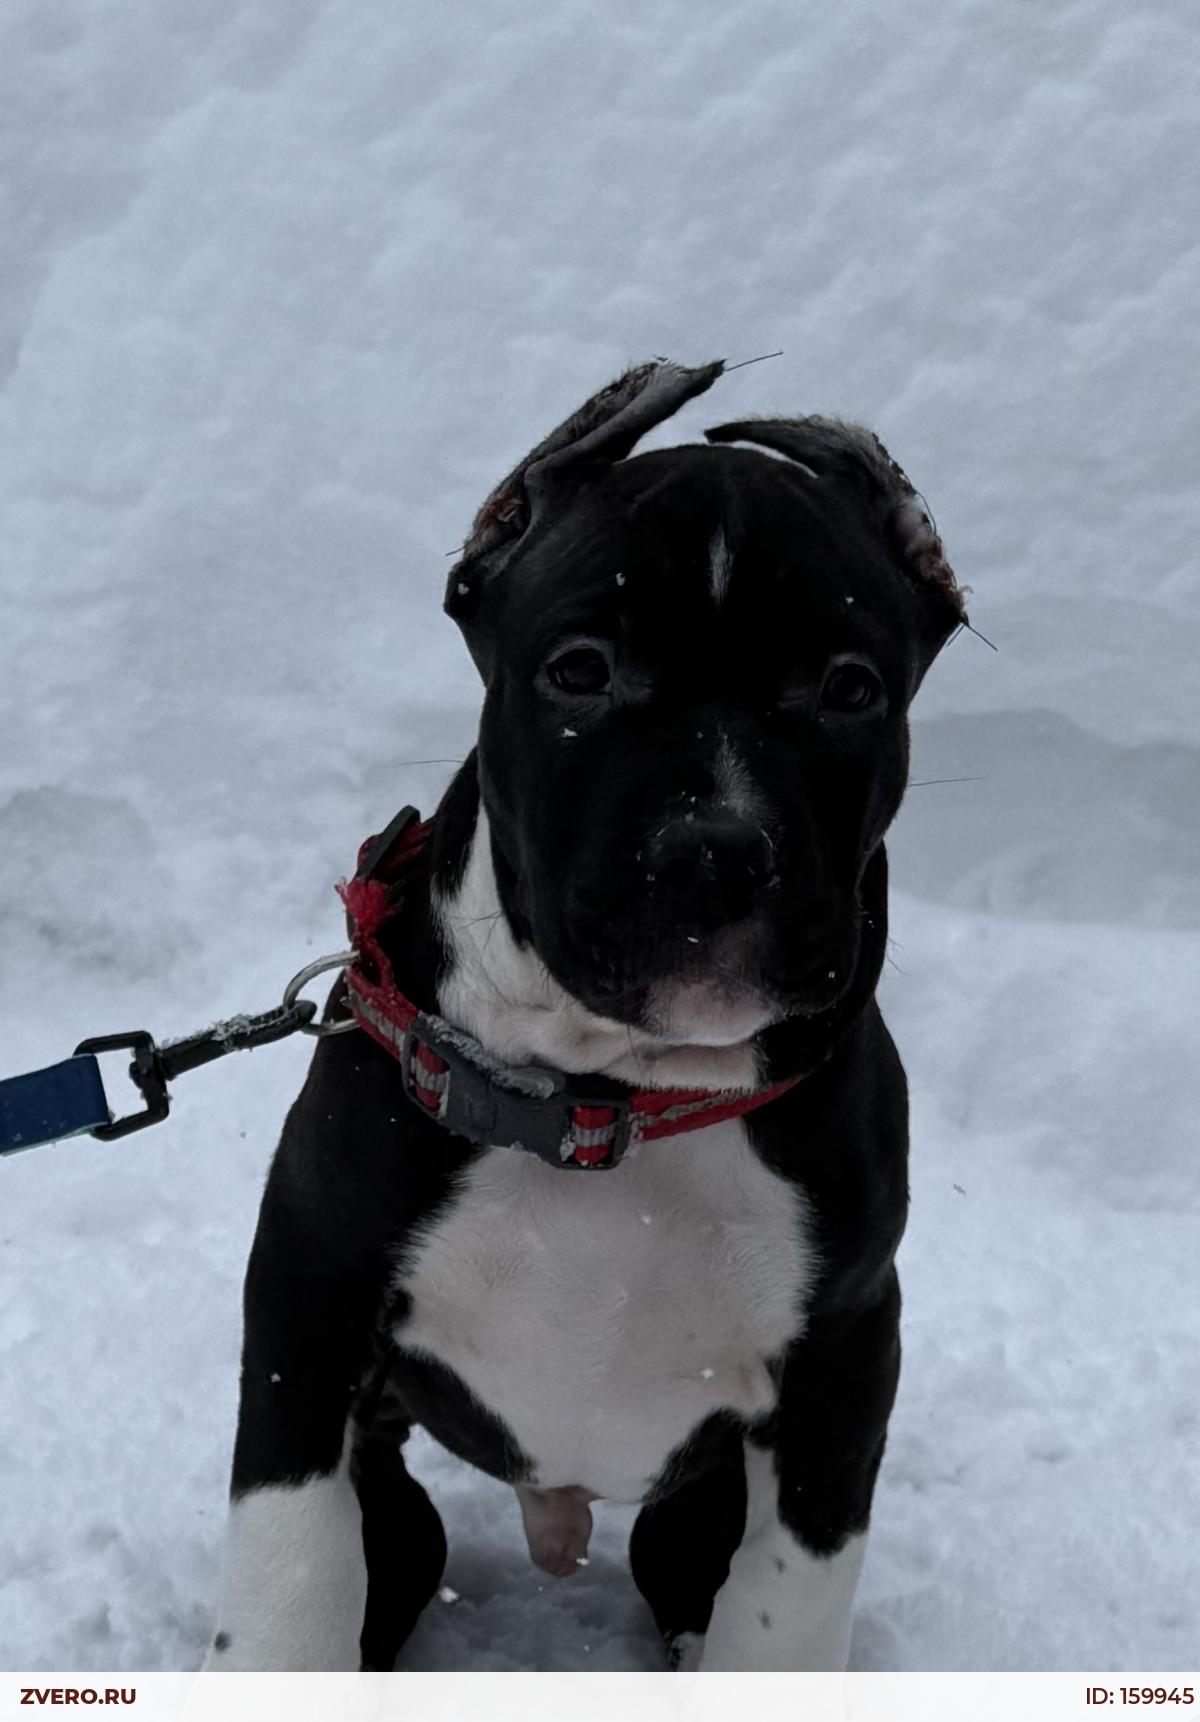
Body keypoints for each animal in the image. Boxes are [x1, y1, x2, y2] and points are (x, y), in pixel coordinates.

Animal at [203, 359, 965, 1672]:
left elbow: (783, 1612)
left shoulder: (845, 1357)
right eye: (578, 671)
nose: (717, 849)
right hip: (400, 1503)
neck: (612, 1100)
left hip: (688, 1515)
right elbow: (296, 1571)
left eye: (851, 690)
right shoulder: (309, 1298)